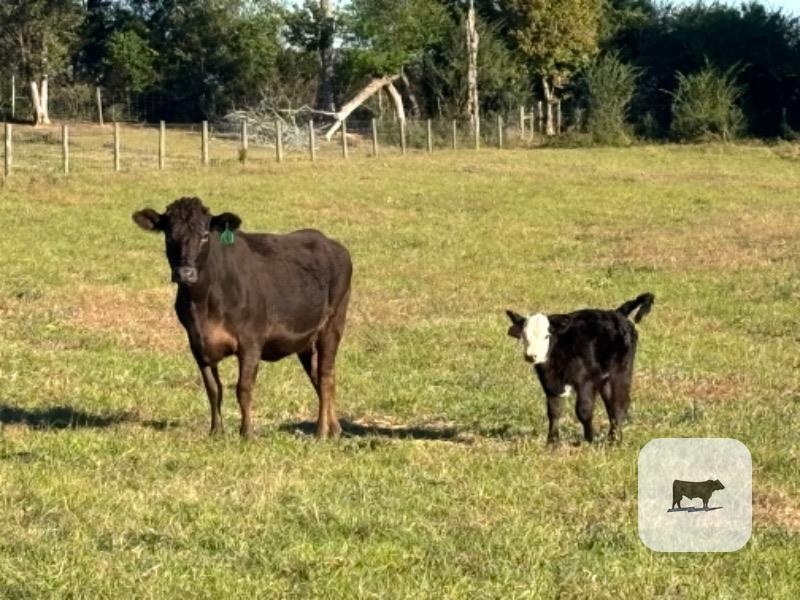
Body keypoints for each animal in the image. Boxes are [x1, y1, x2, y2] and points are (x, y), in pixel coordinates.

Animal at [133, 197, 352, 439]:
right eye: (169, 235)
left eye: (205, 235)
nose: (185, 273)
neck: (202, 305)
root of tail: (331, 243)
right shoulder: (198, 344)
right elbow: (213, 389)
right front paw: (216, 431)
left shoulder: (251, 341)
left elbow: (243, 388)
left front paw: (247, 433)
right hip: (305, 339)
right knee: (319, 377)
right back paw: (335, 429)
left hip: (333, 324)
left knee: (325, 376)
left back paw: (321, 431)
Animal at [506, 293, 654, 444]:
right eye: (524, 336)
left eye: (547, 336)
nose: (531, 356)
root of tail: (616, 313)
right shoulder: (549, 382)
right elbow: (554, 410)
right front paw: (552, 441)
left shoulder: (586, 380)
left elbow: (583, 410)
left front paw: (590, 439)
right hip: (605, 378)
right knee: (610, 403)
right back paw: (612, 436)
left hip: (622, 371)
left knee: (620, 403)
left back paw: (615, 439)